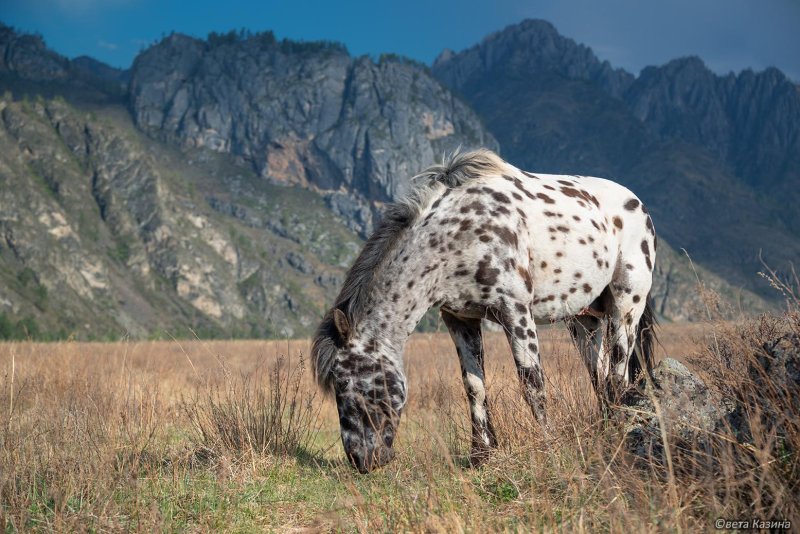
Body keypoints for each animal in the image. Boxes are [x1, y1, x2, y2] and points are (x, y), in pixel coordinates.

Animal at [310, 149, 656, 476]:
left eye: (348, 383)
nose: (361, 460)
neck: (458, 236)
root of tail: (638, 205)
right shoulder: (461, 319)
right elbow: (474, 386)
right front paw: (481, 455)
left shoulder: (516, 312)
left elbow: (532, 385)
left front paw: (549, 446)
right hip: (584, 321)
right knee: (599, 376)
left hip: (625, 308)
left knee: (618, 374)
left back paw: (617, 431)